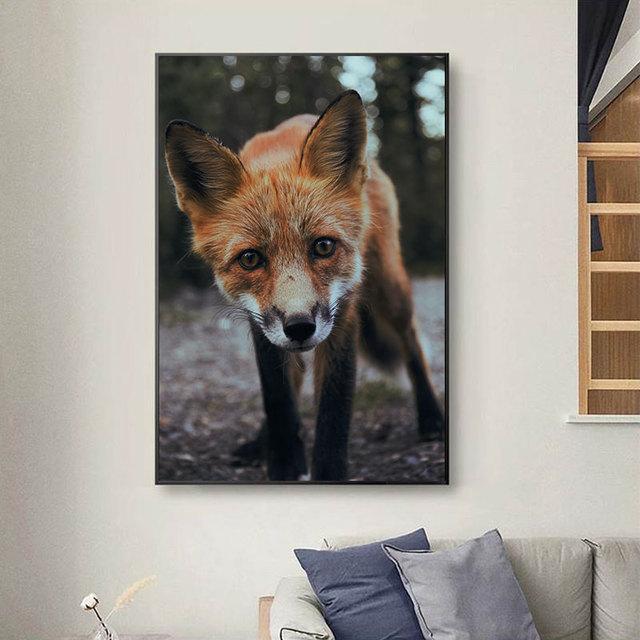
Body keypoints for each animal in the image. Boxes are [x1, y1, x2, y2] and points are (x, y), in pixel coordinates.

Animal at [164, 90, 444, 481]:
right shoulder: (259, 321)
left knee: (411, 342)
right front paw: (283, 463)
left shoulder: (343, 313)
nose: (299, 327)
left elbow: (334, 407)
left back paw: (432, 417)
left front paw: (327, 472)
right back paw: (260, 442)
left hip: (390, 287)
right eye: (250, 259)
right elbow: (278, 396)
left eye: (323, 247)